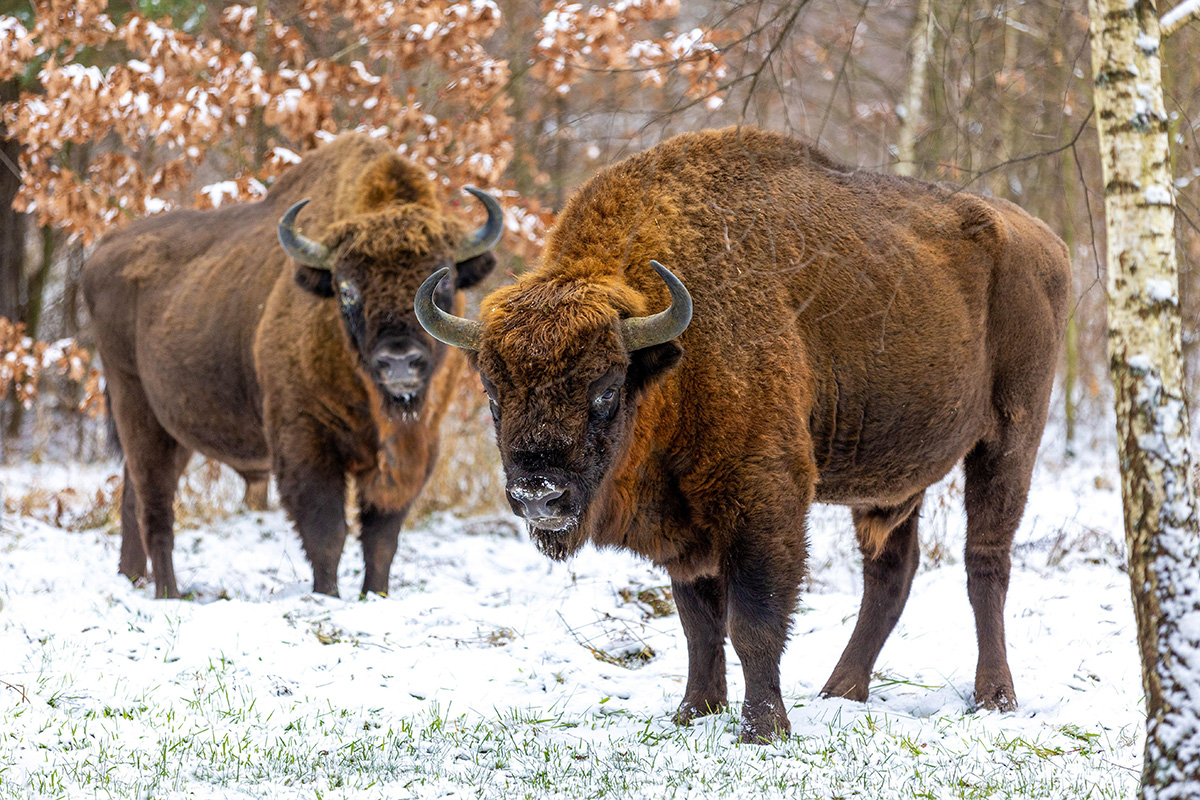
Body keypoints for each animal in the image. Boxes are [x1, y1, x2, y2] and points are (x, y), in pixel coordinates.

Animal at [84, 133, 500, 599]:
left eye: (443, 282)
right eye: (346, 289)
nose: (398, 362)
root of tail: (101, 251)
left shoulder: (417, 446)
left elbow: (381, 539)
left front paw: (375, 595)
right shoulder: (304, 442)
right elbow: (327, 532)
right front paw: (327, 596)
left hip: (173, 427)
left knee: (133, 496)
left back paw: (132, 578)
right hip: (134, 405)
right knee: (156, 504)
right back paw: (167, 593)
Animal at [416, 127, 1069, 742]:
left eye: (605, 389)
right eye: (493, 395)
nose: (539, 496)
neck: (675, 355)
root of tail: (1046, 240)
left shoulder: (763, 500)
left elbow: (752, 621)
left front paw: (763, 728)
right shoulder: (683, 528)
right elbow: (698, 624)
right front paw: (693, 712)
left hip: (1010, 439)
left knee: (985, 562)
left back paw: (993, 698)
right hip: (893, 480)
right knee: (891, 572)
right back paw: (842, 691)